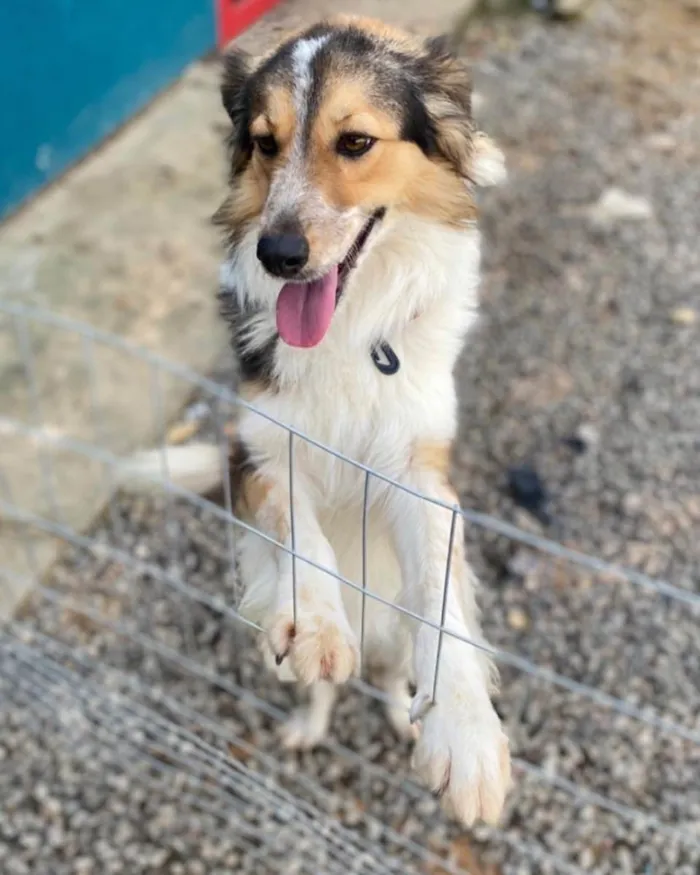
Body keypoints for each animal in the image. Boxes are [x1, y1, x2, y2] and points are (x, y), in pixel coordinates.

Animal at [124, 15, 508, 828]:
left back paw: (401, 715)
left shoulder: (420, 469)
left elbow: (442, 596)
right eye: (265, 142)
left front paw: (465, 733)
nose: (277, 254)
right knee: (325, 686)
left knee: (392, 671)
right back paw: (310, 716)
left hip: (390, 628)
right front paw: (317, 620)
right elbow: (298, 526)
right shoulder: (261, 450)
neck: (348, 331)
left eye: (355, 141)